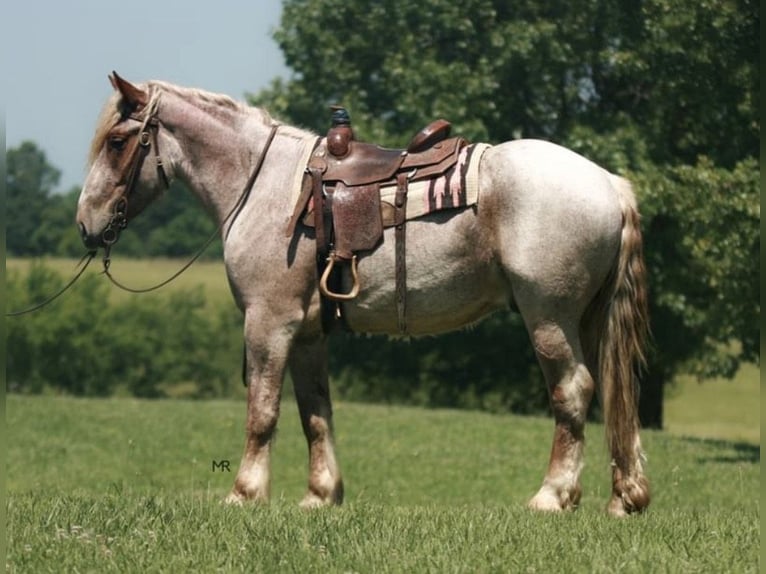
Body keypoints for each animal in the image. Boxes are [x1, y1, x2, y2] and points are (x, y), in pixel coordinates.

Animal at [78, 72, 652, 516]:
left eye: (116, 142)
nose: (86, 224)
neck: (264, 186)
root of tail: (608, 183)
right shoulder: (308, 334)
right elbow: (315, 412)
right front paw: (320, 495)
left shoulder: (269, 323)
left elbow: (263, 412)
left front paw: (245, 493)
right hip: (588, 320)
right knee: (612, 390)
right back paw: (624, 497)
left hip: (549, 318)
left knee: (572, 391)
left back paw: (552, 496)